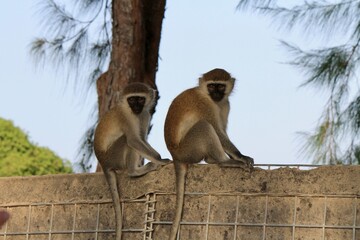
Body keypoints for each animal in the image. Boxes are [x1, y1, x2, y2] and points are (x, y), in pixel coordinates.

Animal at [94, 82, 170, 240]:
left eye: (140, 99)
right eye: (131, 99)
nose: (136, 107)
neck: (133, 112)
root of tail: (103, 162)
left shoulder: (145, 114)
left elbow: (142, 139)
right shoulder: (126, 117)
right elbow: (134, 140)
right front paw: (160, 160)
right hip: (114, 156)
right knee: (126, 140)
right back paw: (135, 171)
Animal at [164, 68, 253, 240]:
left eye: (220, 86)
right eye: (211, 86)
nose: (216, 94)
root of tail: (174, 156)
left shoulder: (226, 104)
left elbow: (222, 130)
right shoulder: (203, 104)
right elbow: (218, 131)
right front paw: (240, 156)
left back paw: (212, 159)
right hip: (188, 150)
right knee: (204, 126)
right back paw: (224, 162)